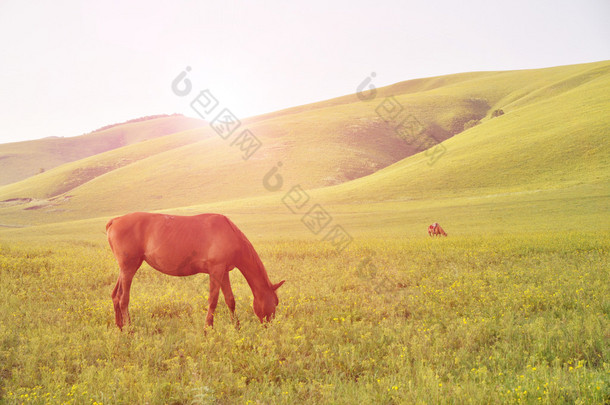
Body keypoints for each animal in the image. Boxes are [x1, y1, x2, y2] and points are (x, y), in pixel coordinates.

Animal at [105, 211, 284, 328]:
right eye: (275, 302)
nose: (270, 326)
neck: (230, 233)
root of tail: (115, 221)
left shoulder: (223, 272)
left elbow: (230, 300)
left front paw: (236, 326)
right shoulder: (216, 271)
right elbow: (213, 301)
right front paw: (208, 329)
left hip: (125, 268)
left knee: (115, 296)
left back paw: (119, 327)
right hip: (129, 268)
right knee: (123, 299)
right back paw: (129, 330)